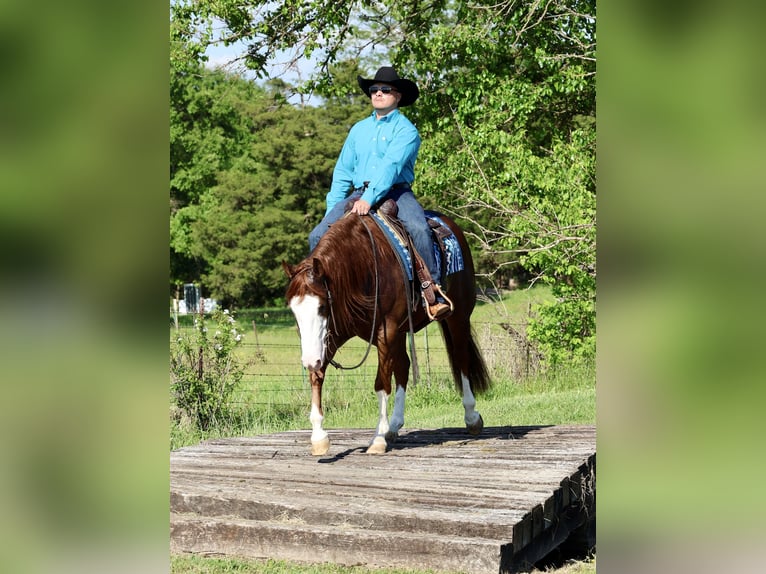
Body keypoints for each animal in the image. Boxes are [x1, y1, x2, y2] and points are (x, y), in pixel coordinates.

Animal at [282, 210, 491, 455]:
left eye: (322, 306)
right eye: (294, 310)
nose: (308, 360)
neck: (362, 267)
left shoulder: (385, 329)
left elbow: (381, 383)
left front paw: (377, 439)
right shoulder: (331, 335)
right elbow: (317, 375)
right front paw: (318, 437)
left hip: (458, 316)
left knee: (461, 358)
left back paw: (471, 417)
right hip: (398, 334)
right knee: (404, 366)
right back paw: (395, 425)